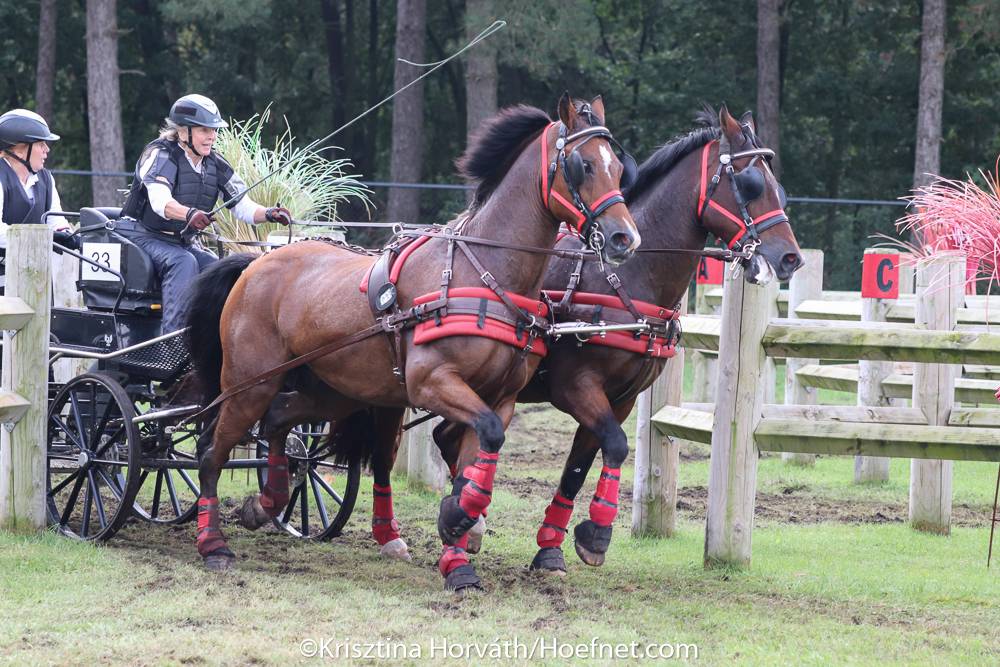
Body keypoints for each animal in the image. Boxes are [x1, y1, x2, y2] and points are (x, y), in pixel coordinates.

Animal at [186, 94, 641, 591]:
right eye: (583, 165)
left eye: (619, 165)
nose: (624, 238)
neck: (482, 272)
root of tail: (254, 263)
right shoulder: (432, 384)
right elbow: (484, 445)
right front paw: (457, 521)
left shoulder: (498, 399)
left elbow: (481, 457)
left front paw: (458, 555)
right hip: (249, 384)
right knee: (210, 454)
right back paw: (213, 544)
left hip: (331, 391)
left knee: (277, 421)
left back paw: (266, 503)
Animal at [434, 105, 804, 572]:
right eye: (750, 183)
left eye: (778, 186)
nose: (791, 258)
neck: (625, 277)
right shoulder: (575, 387)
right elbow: (615, 445)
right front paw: (595, 532)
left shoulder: (620, 398)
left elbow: (580, 464)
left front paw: (551, 546)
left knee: (448, 436)